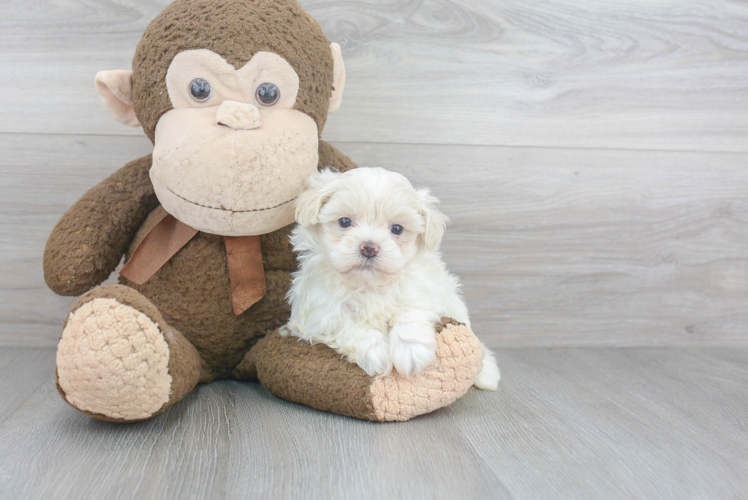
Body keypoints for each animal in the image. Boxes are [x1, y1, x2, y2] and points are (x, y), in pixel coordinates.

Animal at [284, 168, 500, 390]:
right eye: (344, 222)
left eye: (397, 229)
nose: (369, 247)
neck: (369, 285)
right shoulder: (318, 313)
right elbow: (347, 325)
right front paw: (376, 354)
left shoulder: (423, 289)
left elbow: (410, 310)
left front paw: (411, 351)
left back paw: (487, 374)